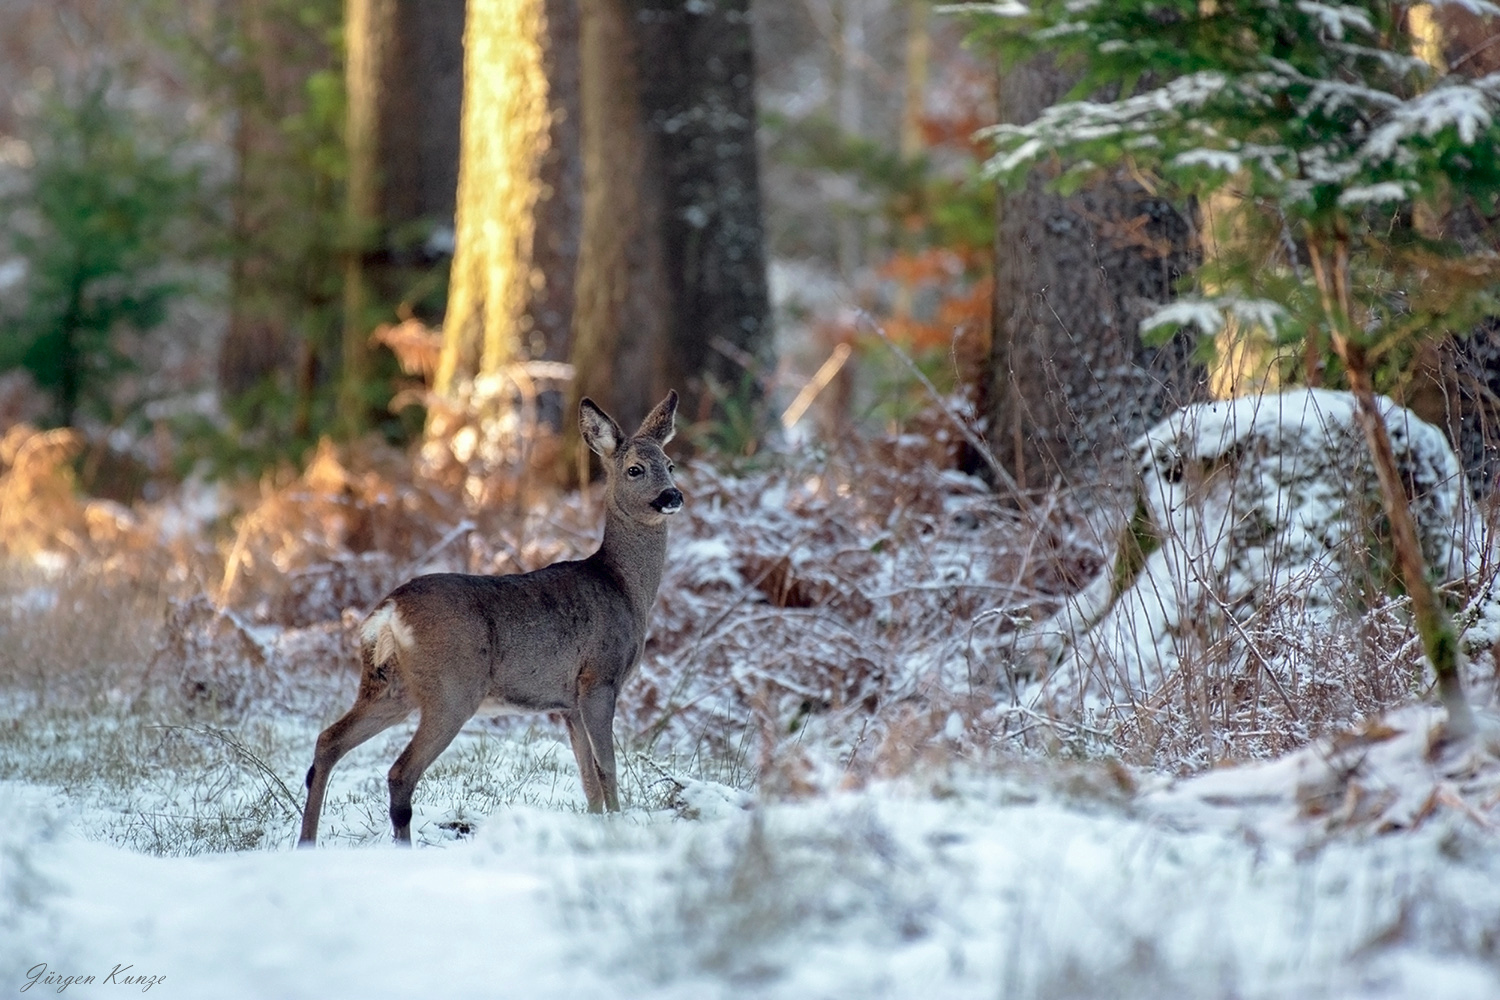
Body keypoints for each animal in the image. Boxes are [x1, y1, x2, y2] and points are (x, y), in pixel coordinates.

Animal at [298, 389, 687, 845]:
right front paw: (618, 827)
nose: (672, 496)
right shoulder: (599, 678)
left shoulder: (567, 702)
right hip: (453, 688)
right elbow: (607, 768)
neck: (623, 587)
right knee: (399, 772)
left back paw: (306, 844)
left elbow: (587, 777)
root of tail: (388, 613)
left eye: (671, 464)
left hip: (390, 686)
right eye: (634, 469)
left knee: (328, 742)